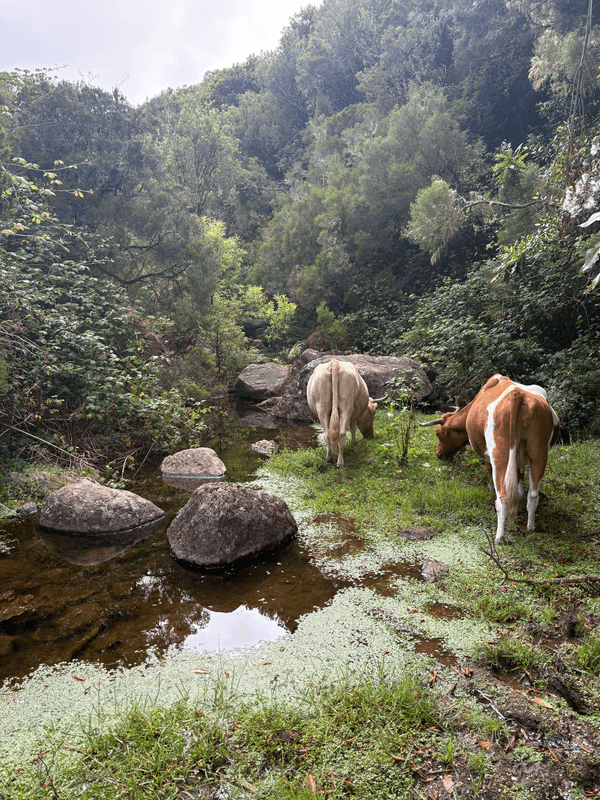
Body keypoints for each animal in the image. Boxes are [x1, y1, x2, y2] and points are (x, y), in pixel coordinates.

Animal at [419, 374, 560, 545]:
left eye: (438, 433)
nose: (438, 454)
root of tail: (519, 394)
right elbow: (519, 475)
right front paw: (519, 493)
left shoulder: (486, 452)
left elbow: (487, 468)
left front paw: (490, 487)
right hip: (539, 452)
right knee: (533, 494)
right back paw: (530, 526)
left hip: (500, 453)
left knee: (502, 499)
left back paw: (499, 537)